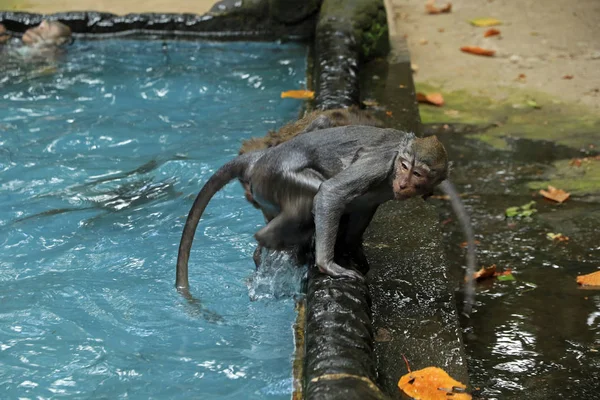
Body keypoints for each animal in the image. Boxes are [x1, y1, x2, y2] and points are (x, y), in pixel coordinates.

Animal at [176, 126, 476, 314]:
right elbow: (332, 193)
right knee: (314, 192)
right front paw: (328, 265)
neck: (394, 166)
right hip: (273, 177)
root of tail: (261, 157)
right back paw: (274, 239)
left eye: (418, 174)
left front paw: (353, 250)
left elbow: (364, 208)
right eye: (404, 166)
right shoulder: (378, 163)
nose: (403, 183)